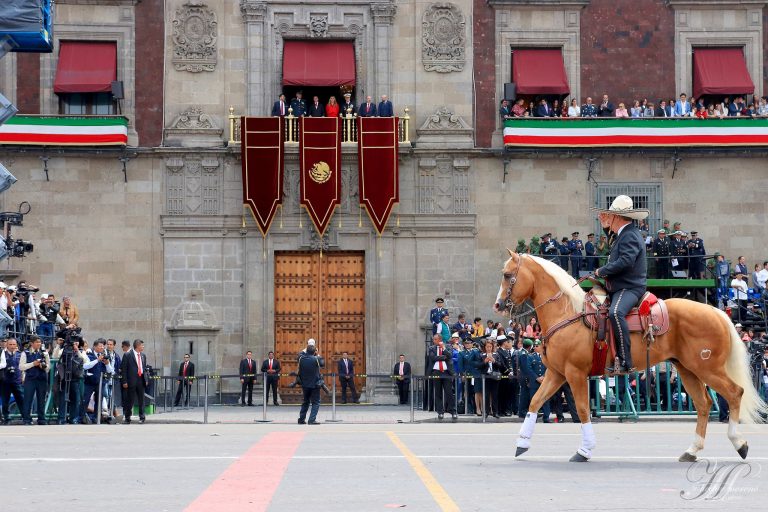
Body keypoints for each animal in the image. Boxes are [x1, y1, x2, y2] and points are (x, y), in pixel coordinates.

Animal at [496, 250, 764, 462]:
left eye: (508, 275)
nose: (498, 305)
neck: (568, 313)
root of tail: (716, 311)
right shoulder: (556, 373)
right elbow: (535, 402)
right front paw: (522, 443)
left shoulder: (574, 373)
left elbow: (582, 409)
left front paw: (584, 450)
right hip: (688, 369)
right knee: (704, 404)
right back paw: (692, 450)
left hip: (708, 369)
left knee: (734, 393)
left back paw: (739, 443)